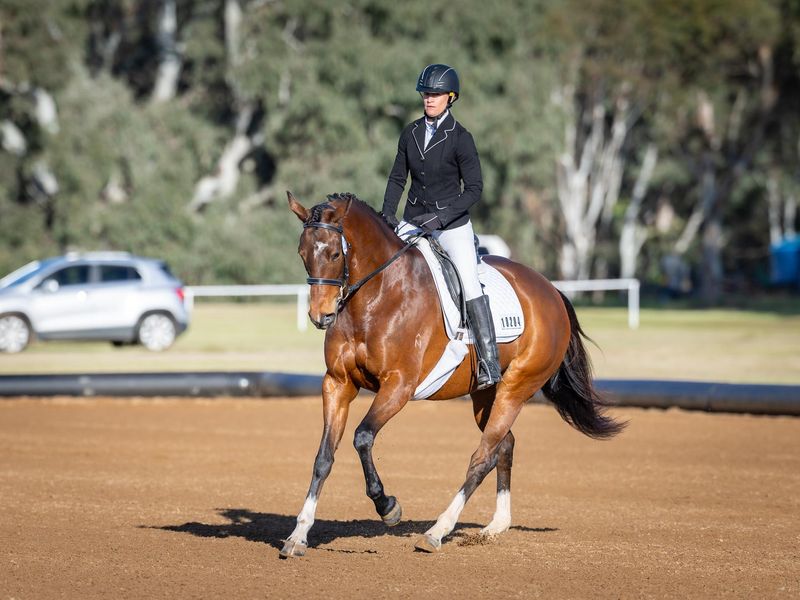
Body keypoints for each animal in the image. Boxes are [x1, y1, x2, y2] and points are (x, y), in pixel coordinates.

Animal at [281, 191, 624, 557]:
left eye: (334, 253)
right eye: (302, 253)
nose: (321, 316)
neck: (376, 297)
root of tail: (551, 291)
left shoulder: (398, 386)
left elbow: (362, 438)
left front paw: (388, 507)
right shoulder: (337, 384)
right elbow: (323, 457)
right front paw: (298, 535)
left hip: (516, 388)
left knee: (483, 456)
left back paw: (437, 531)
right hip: (486, 394)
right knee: (504, 444)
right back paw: (495, 526)